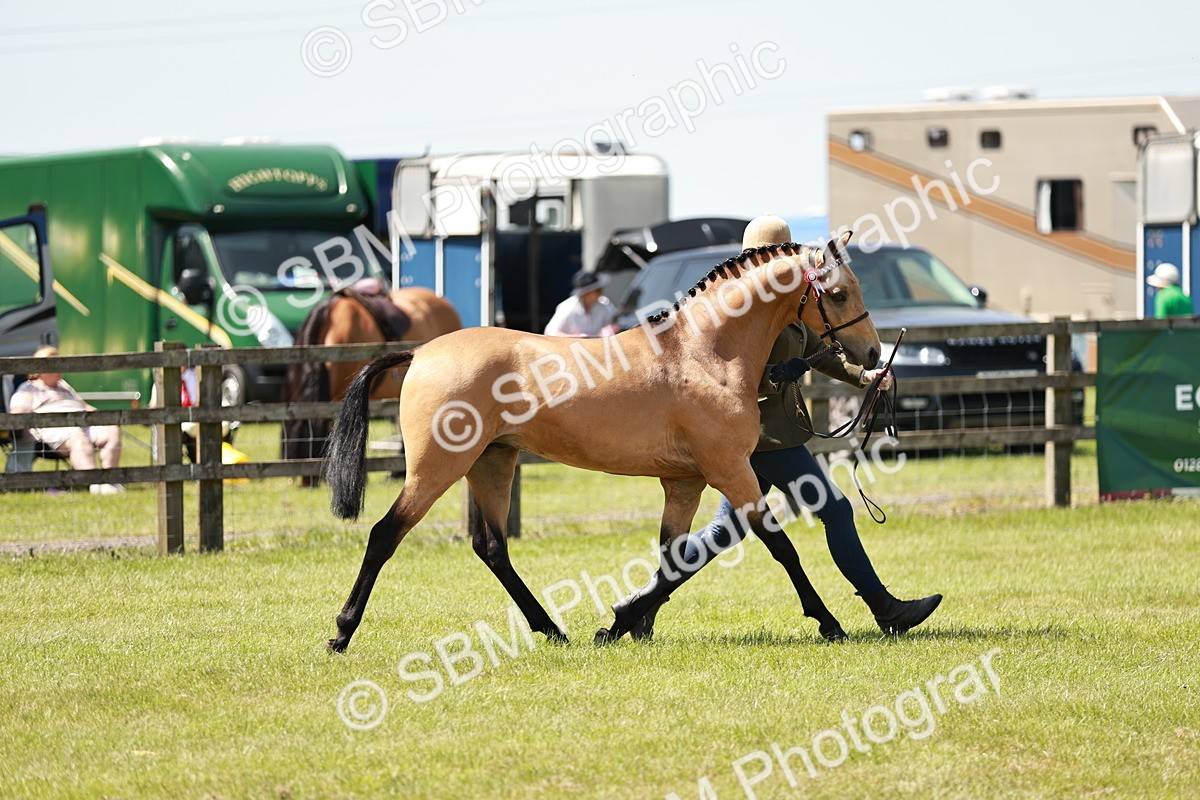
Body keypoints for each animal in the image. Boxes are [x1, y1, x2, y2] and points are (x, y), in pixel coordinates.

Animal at [322, 232, 881, 652]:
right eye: (837, 294)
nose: (873, 353)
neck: (704, 353)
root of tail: (419, 353)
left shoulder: (685, 483)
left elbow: (674, 558)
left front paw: (624, 624)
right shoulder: (731, 471)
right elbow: (780, 547)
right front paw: (829, 622)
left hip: (493, 463)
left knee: (492, 547)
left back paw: (551, 629)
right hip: (436, 468)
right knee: (385, 534)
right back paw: (342, 633)